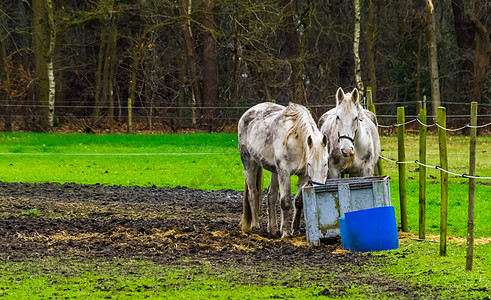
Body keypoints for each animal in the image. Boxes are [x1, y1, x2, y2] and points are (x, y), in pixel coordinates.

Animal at [239, 102, 330, 238]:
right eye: (309, 163)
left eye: (326, 163)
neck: (296, 140)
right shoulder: (284, 172)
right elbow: (285, 202)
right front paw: (286, 232)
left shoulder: (303, 176)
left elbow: (298, 202)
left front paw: (295, 229)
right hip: (249, 163)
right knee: (253, 194)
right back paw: (256, 226)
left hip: (274, 171)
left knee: (271, 196)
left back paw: (273, 229)